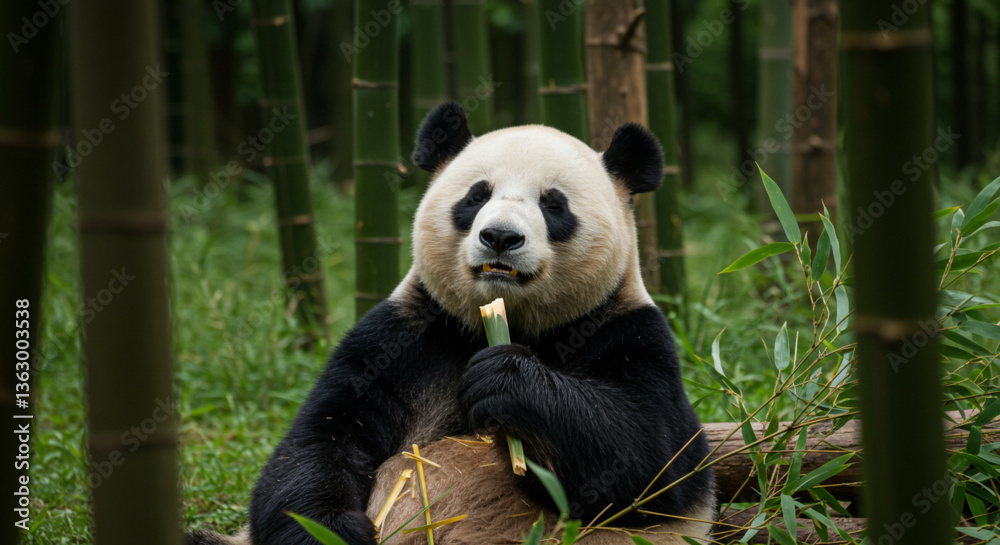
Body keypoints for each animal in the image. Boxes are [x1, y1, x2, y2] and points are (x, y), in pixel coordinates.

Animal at [188, 101, 716, 545]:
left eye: (553, 204)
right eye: (476, 196)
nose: (500, 236)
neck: (507, 324)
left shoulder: (630, 332)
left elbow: (652, 460)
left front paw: (505, 381)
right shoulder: (402, 338)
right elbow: (319, 443)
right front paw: (329, 532)